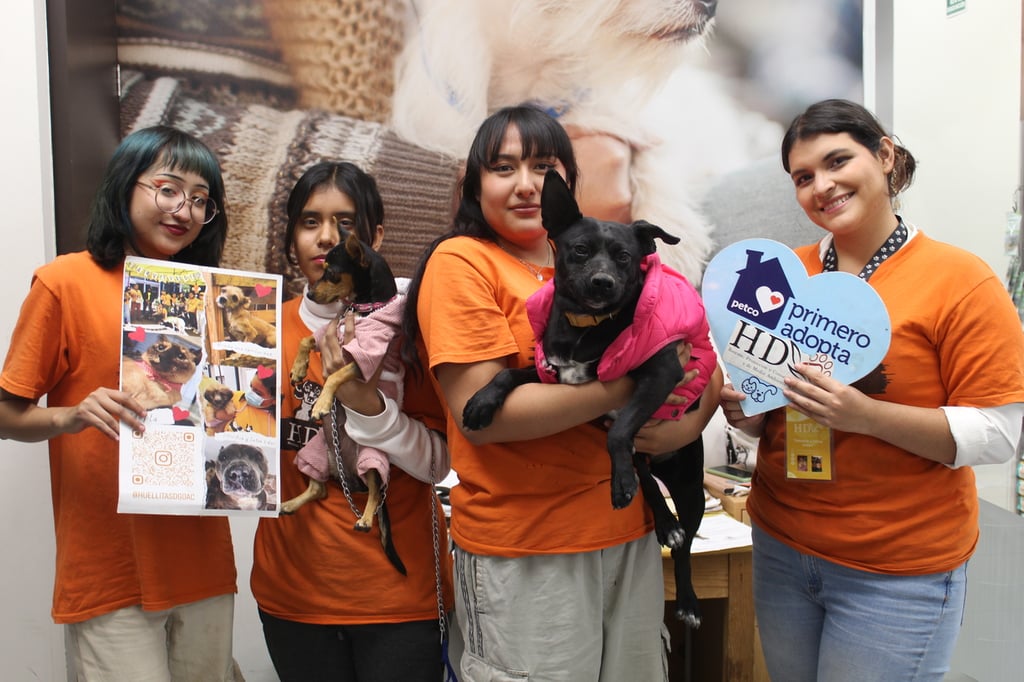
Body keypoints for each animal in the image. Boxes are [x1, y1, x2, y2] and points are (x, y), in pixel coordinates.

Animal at [464, 169, 712, 626]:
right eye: (579, 250)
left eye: (625, 257)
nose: (602, 282)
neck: (586, 325)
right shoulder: (553, 377)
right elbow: (508, 372)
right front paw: (481, 402)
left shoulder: (662, 372)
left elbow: (619, 434)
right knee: (643, 473)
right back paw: (656, 512)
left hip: (691, 487)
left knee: (684, 544)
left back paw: (685, 595)